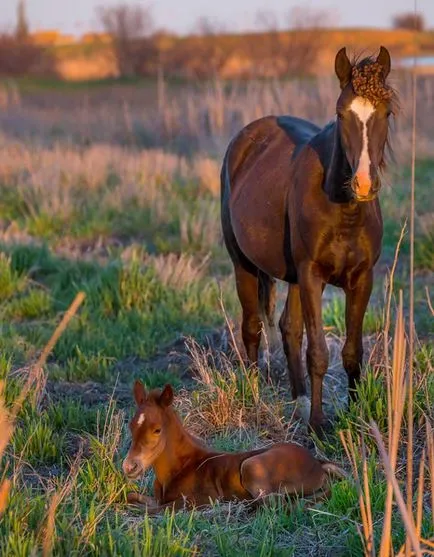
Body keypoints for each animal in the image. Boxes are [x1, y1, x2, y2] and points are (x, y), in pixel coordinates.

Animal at [122, 382, 346, 512]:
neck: (177, 469)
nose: (129, 467)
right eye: (131, 426)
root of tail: (317, 463)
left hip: (252, 466)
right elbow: (131, 497)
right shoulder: (156, 498)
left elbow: (154, 510)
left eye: (157, 430)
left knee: (277, 504)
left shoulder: (204, 497)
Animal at [220, 46, 396, 434]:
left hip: (295, 278)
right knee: (253, 327)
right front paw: (318, 423)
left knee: (288, 328)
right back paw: (254, 393)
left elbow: (351, 352)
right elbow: (318, 352)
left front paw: (354, 413)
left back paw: (299, 399)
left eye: (387, 112)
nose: (364, 184)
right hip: (244, 264)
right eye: (341, 113)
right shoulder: (313, 276)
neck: (344, 211)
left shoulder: (361, 279)